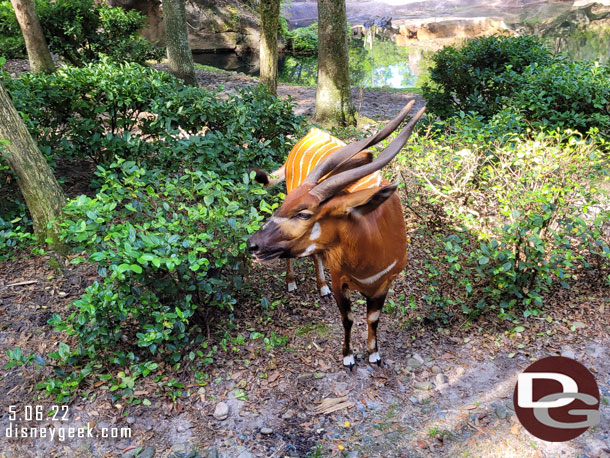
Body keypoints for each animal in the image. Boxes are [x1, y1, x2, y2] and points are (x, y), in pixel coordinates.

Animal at [247, 103, 422, 368]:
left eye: (304, 214)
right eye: (286, 207)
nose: (252, 244)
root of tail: (313, 131)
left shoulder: (385, 283)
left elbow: (373, 318)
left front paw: (374, 354)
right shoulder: (340, 278)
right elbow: (347, 318)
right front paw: (348, 357)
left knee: (315, 256)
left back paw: (321, 287)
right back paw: (294, 282)